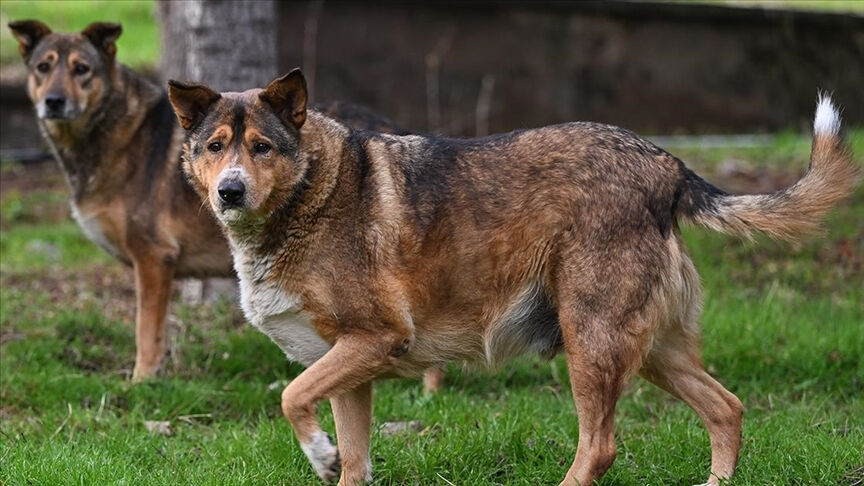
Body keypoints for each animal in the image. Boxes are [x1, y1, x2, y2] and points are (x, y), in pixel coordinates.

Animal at [169, 69, 856, 486]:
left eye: (261, 147)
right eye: (214, 147)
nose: (229, 192)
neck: (311, 192)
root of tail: (667, 165)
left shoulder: (374, 341)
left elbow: (290, 398)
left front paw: (317, 452)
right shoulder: (348, 367)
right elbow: (351, 459)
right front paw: (331, 455)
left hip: (591, 340)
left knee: (601, 446)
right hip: (652, 349)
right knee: (727, 408)